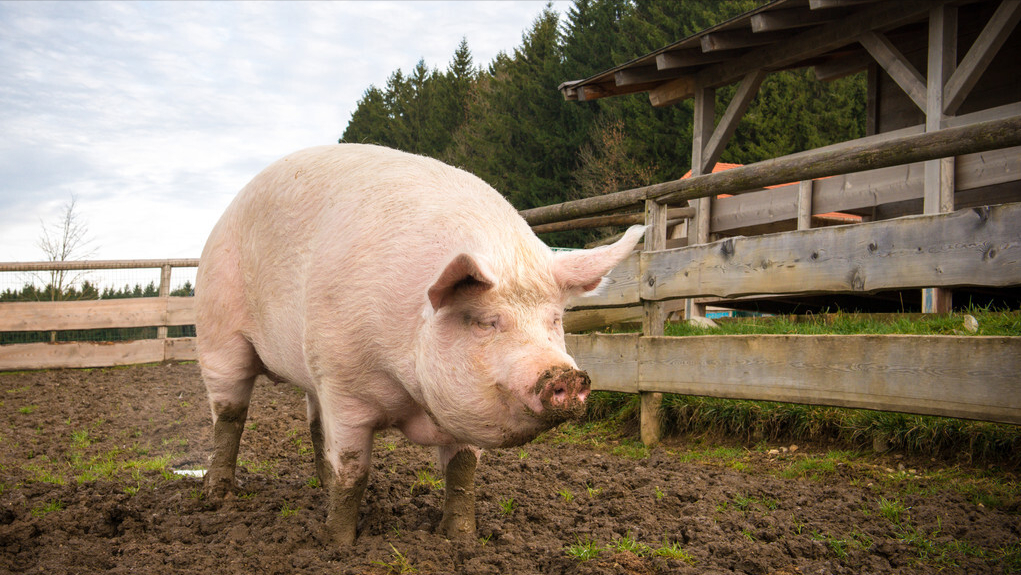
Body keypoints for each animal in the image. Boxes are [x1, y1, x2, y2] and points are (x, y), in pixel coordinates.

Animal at [193, 144, 641, 543]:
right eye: (486, 323)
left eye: (554, 320)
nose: (566, 374)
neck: (410, 395)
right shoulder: (343, 384)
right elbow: (353, 471)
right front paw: (335, 544)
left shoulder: (462, 413)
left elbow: (462, 472)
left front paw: (461, 539)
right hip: (217, 330)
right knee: (229, 415)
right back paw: (218, 498)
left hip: (309, 367)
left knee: (314, 422)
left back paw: (317, 487)